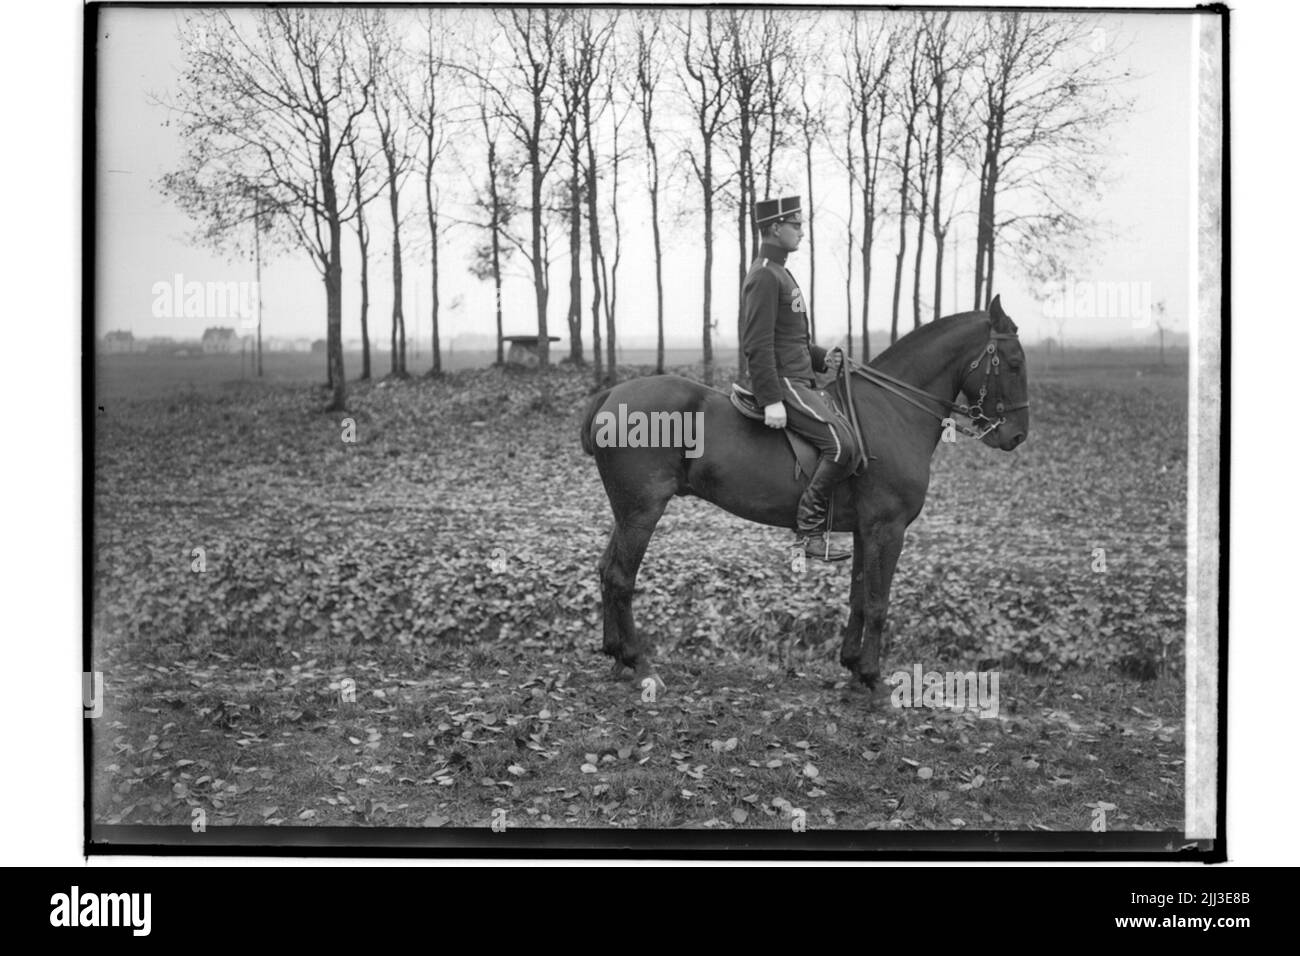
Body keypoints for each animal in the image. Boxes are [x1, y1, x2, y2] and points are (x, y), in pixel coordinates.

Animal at [579, 295, 1030, 693]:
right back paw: (639, 663)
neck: (891, 411)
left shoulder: (866, 530)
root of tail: (611, 395)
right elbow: (879, 601)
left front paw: (852, 667)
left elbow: (859, 596)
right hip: (642, 511)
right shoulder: (888, 528)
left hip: (627, 512)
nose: (1017, 436)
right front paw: (872, 677)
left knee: (606, 570)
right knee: (620, 577)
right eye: (1013, 363)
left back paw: (616, 655)